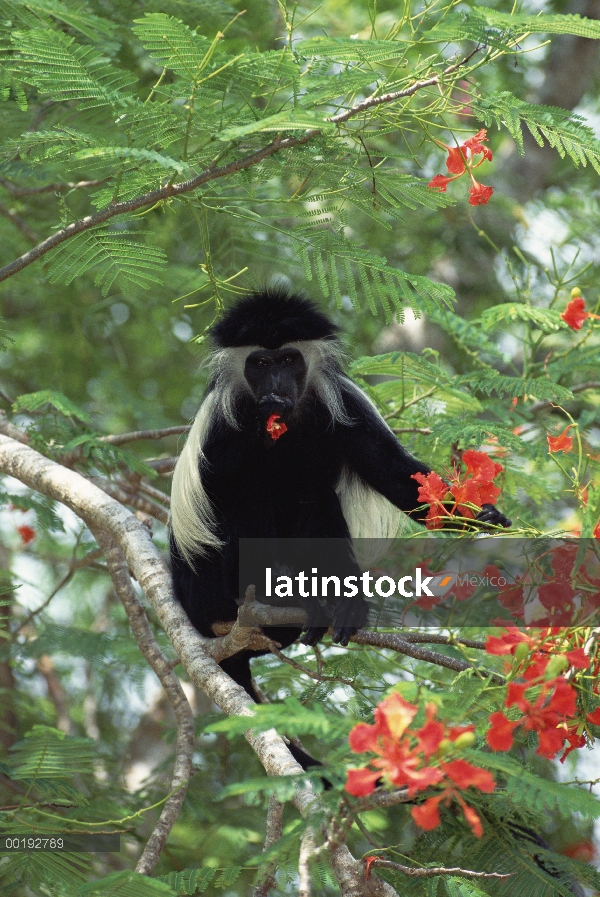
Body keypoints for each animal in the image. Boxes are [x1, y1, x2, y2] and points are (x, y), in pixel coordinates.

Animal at [170, 288, 510, 700]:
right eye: (261, 363)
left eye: (288, 361)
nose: (275, 387)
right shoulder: (222, 417)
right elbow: (219, 482)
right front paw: (260, 423)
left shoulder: (344, 402)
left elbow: (398, 476)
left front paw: (481, 516)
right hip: (207, 588)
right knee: (246, 495)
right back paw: (268, 597)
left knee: (316, 496)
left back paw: (335, 604)